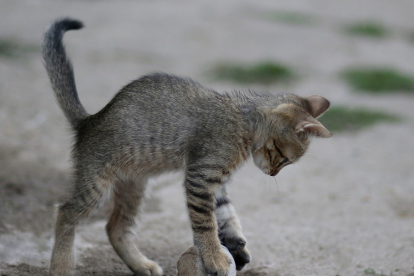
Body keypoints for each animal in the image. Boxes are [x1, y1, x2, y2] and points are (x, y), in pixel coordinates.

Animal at [42, 17, 334, 276]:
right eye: (283, 157)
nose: (273, 173)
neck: (242, 122)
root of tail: (89, 120)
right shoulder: (201, 176)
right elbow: (206, 222)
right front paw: (215, 257)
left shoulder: (216, 182)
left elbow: (226, 214)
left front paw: (235, 246)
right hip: (96, 182)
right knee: (65, 212)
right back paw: (61, 267)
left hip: (135, 185)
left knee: (115, 228)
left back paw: (141, 265)